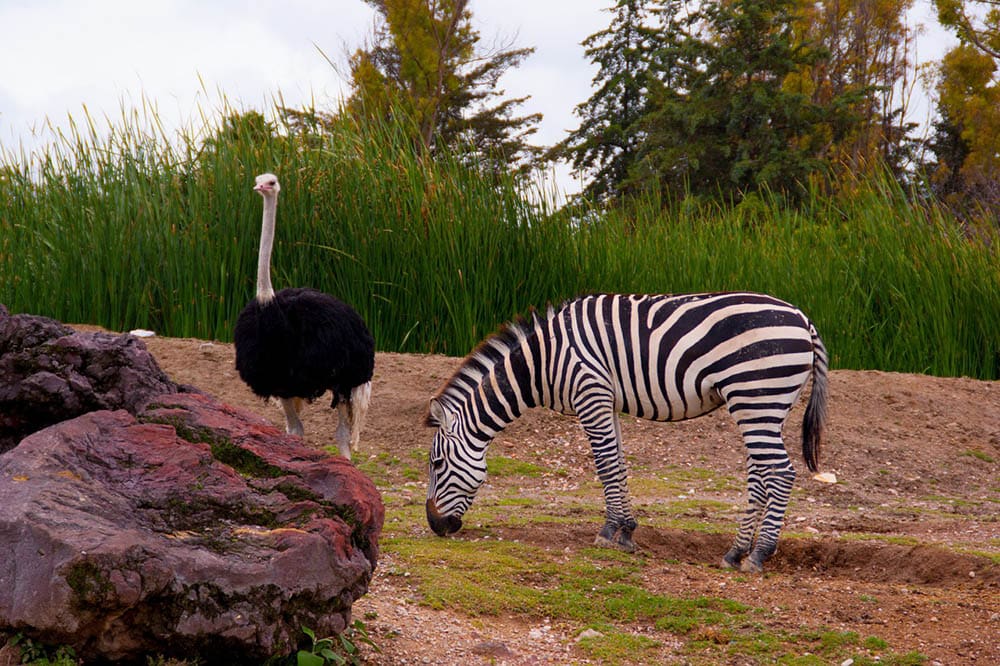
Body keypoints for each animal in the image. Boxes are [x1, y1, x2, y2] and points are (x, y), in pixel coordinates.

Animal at [426, 290, 832, 572]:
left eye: (437, 464)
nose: (435, 526)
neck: (542, 361)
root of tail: (804, 320)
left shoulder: (590, 394)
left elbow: (605, 466)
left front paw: (608, 532)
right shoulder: (606, 401)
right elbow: (619, 465)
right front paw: (626, 531)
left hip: (756, 396)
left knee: (781, 473)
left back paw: (758, 555)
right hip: (763, 407)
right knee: (760, 475)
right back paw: (735, 552)